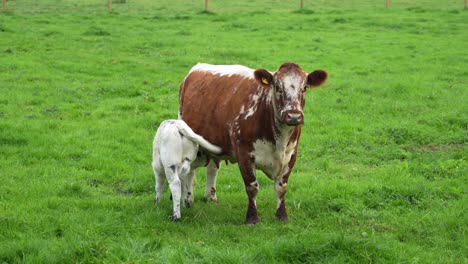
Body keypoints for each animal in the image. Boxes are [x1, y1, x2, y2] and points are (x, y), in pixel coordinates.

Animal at [177, 63, 328, 224]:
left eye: (305, 87)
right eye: (277, 87)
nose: (294, 116)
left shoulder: (291, 154)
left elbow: (281, 187)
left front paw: (282, 216)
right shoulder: (244, 153)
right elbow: (252, 186)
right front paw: (252, 218)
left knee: (212, 168)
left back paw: (210, 197)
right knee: (190, 170)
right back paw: (188, 200)